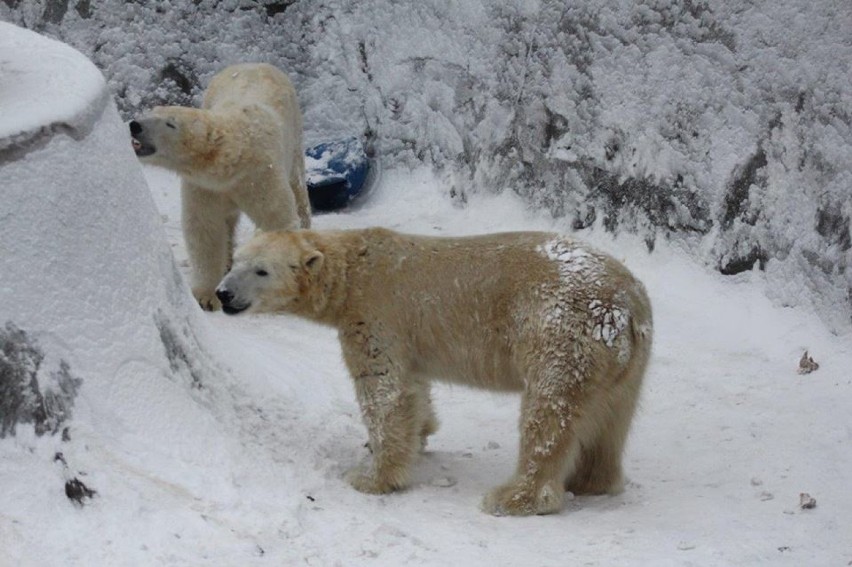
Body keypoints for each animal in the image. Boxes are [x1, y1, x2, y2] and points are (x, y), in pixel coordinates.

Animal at [130, 63, 310, 310]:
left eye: (170, 123)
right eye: (150, 112)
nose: (135, 125)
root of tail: (254, 63)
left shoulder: (260, 174)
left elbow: (276, 218)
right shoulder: (205, 186)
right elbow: (205, 229)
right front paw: (206, 296)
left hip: (294, 133)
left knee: (298, 188)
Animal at [213, 226, 652, 516]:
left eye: (262, 270)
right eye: (235, 261)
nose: (223, 293)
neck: (355, 269)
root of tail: (625, 304)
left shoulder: (375, 314)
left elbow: (383, 391)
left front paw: (372, 478)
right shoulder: (406, 337)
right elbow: (413, 386)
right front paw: (420, 434)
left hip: (559, 333)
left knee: (548, 414)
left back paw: (513, 497)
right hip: (625, 361)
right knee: (612, 418)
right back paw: (591, 480)